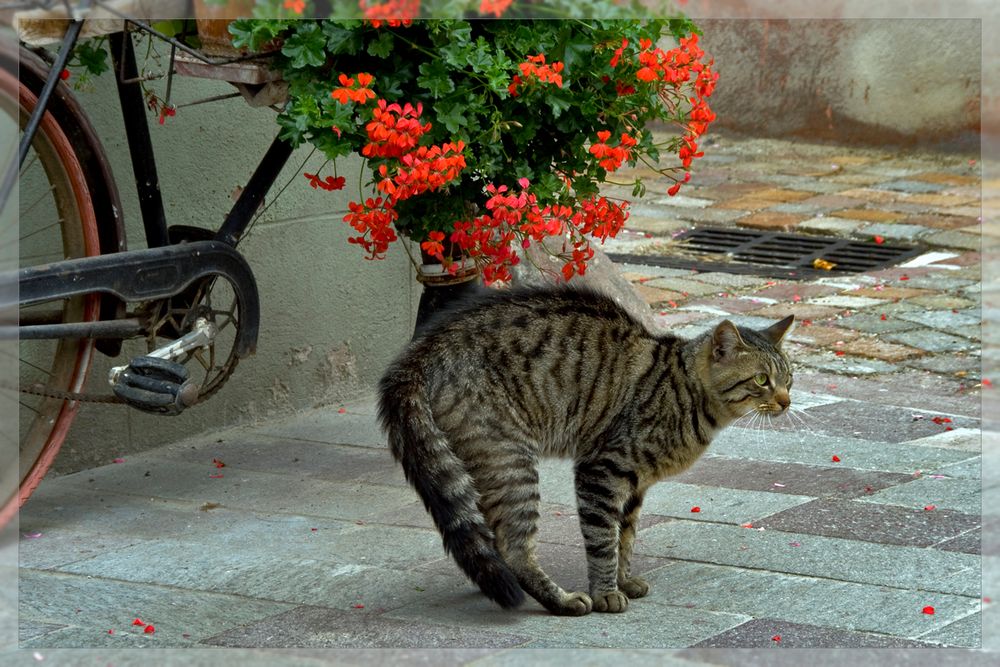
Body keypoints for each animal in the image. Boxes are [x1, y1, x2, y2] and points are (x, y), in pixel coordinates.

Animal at [378, 286, 792, 616]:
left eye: (788, 379)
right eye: (761, 379)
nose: (787, 401)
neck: (687, 395)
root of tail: (418, 354)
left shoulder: (635, 485)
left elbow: (626, 536)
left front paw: (624, 580)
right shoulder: (602, 470)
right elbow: (603, 539)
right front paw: (607, 592)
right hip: (511, 463)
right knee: (514, 547)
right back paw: (561, 600)